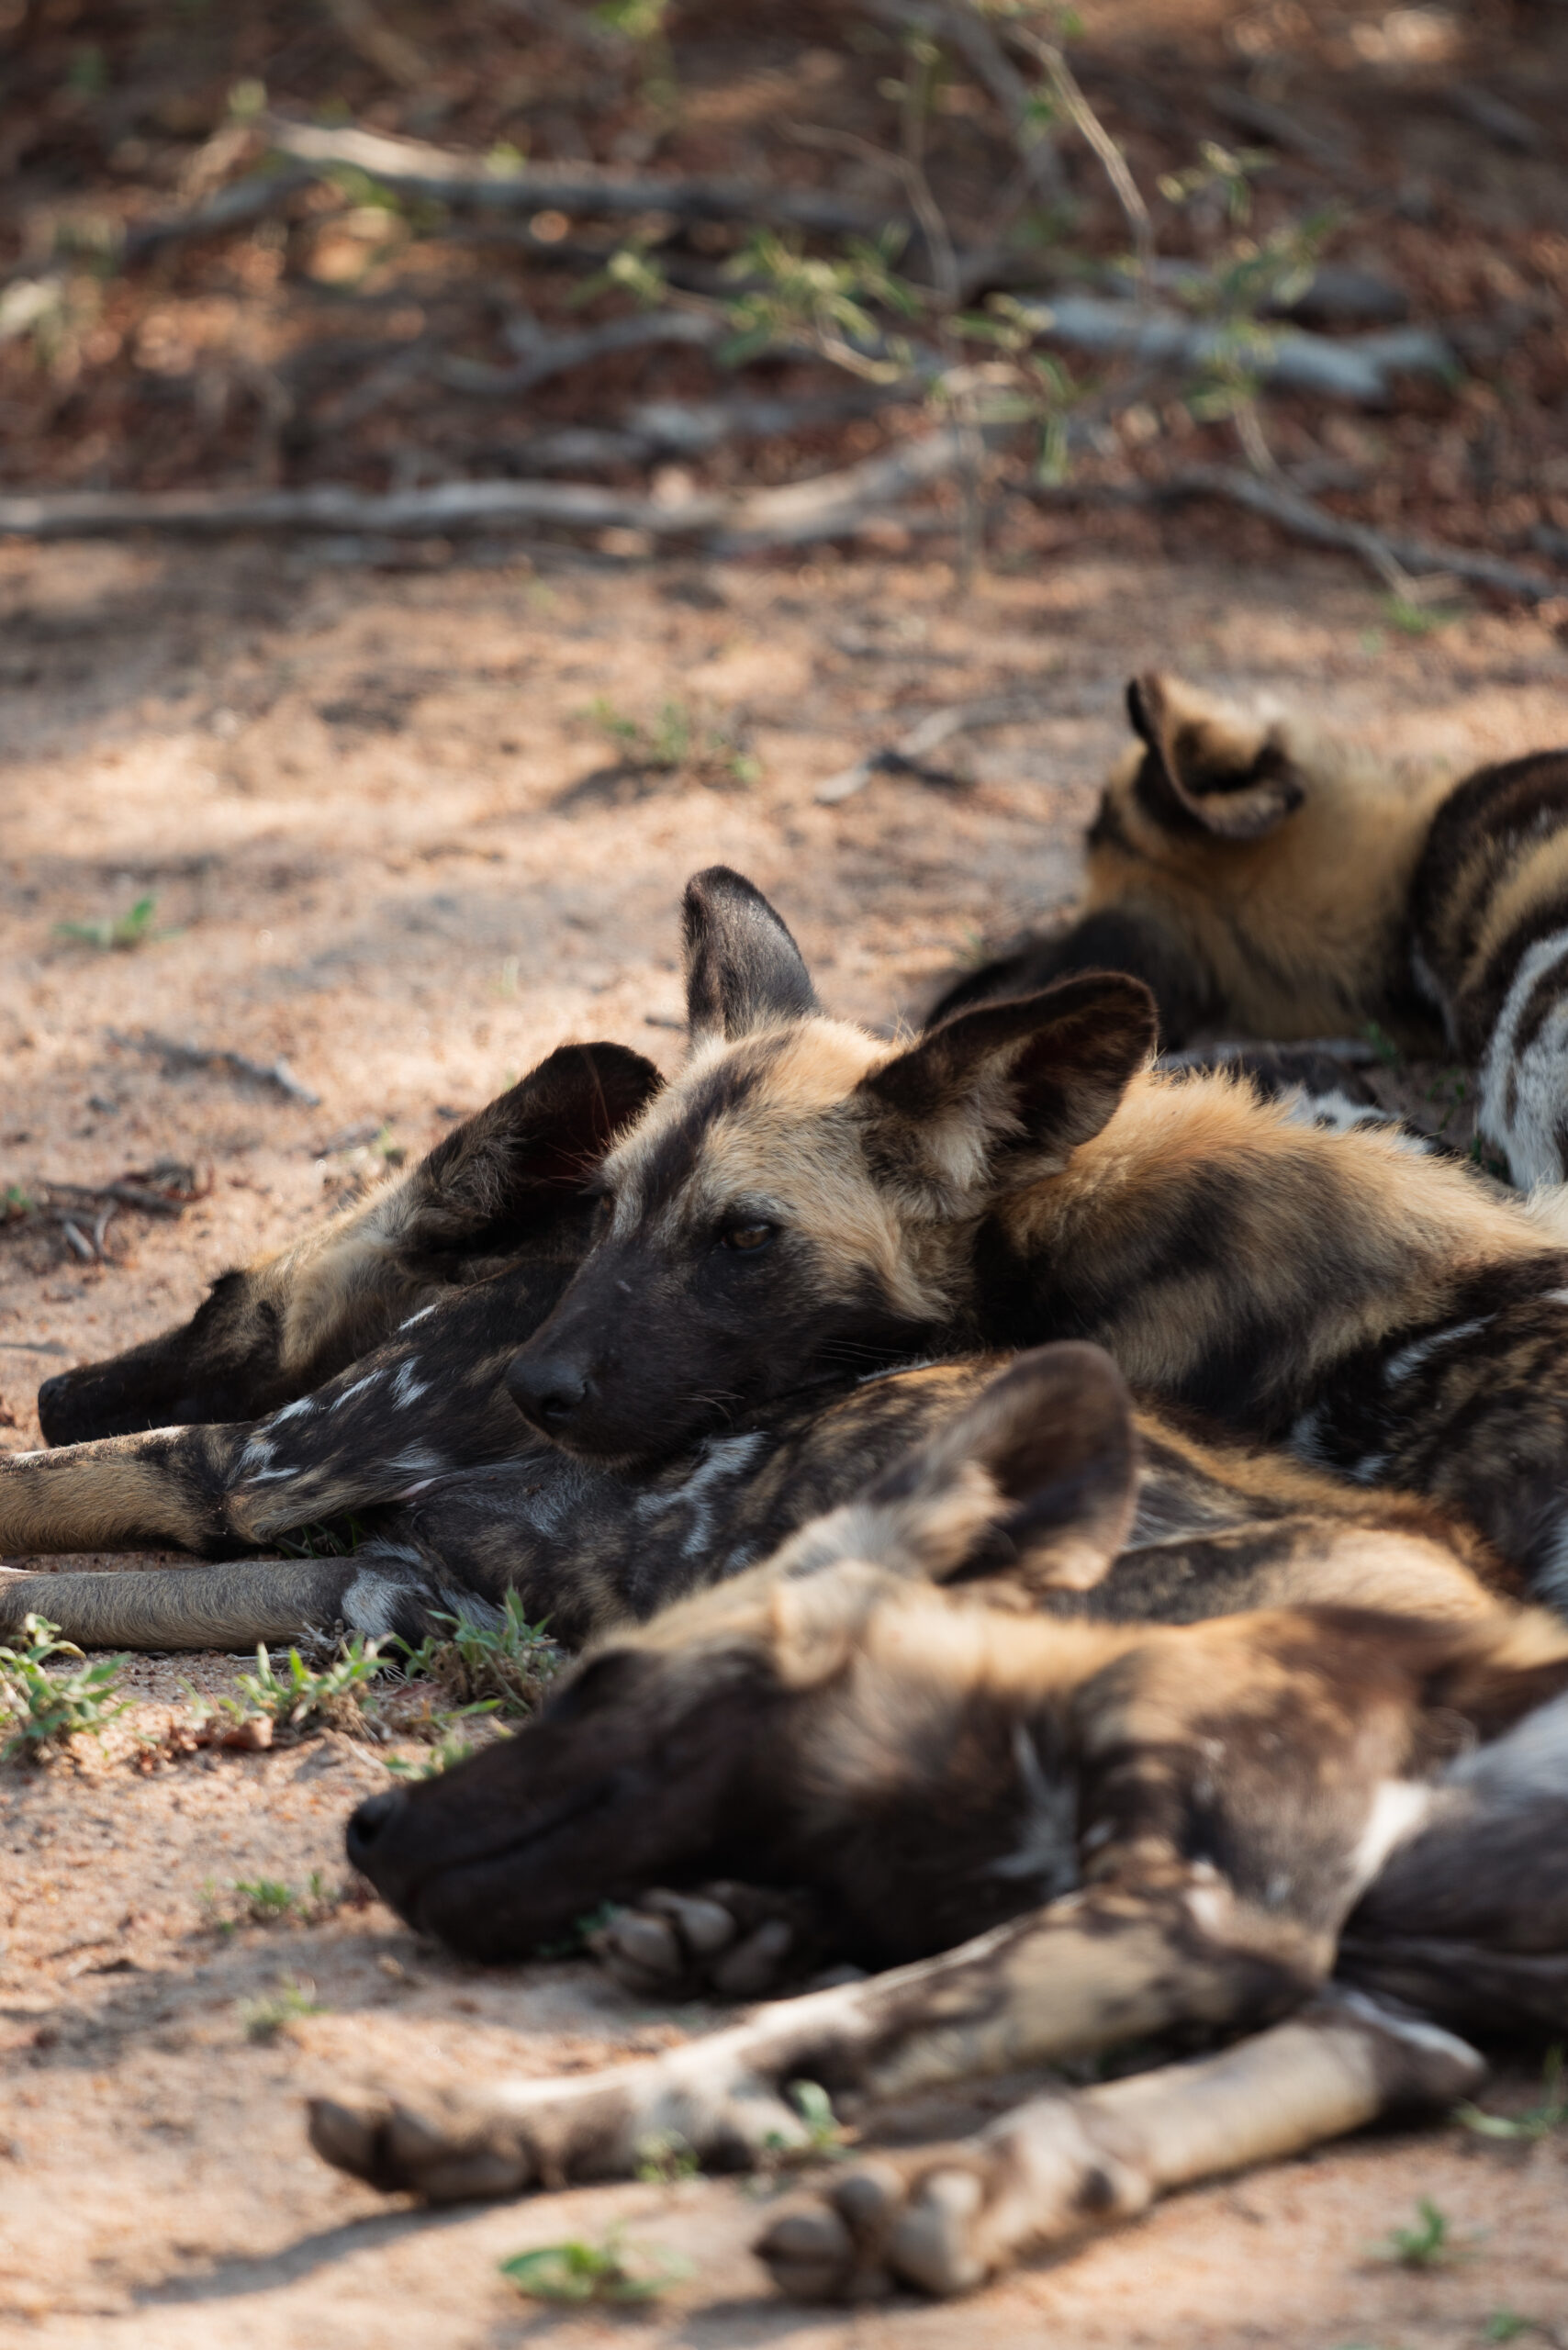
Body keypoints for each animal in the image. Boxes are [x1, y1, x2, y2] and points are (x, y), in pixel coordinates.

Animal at [312, 1353, 1568, 2302]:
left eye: (595, 1680)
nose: (369, 1822)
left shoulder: (1211, 1915)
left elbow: (799, 2031)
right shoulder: (1377, 2023)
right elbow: (1074, 2117)